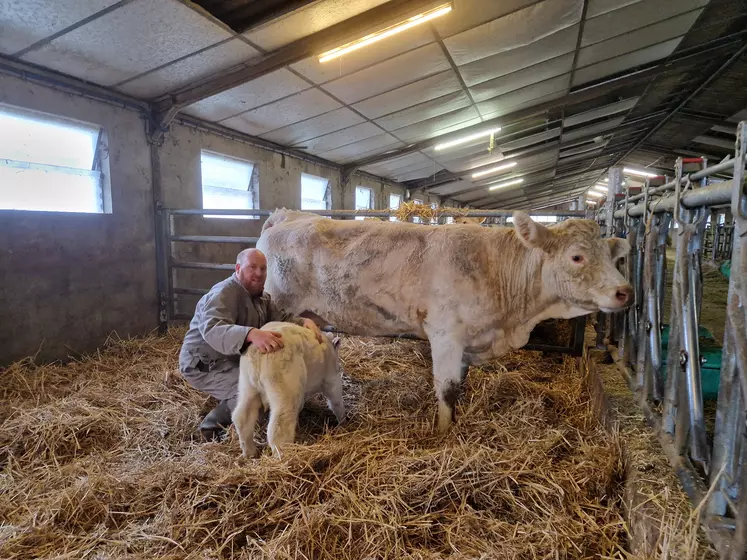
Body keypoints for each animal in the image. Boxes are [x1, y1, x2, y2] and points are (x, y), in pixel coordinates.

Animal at [232, 322, 346, 458]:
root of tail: (258, 355)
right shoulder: (330, 376)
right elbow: (335, 398)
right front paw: (343, 421)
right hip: (285, 384)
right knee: (280, 424)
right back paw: (285, 455)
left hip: (247, 384)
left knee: (242, 416)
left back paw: (250, 452)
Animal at [258, 210, 632, 434]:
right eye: (577, 257)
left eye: (611, 257)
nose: (625, 291)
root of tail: (286, 216)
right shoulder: (445, 334)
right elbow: (448, 388)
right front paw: (442, 433)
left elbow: (460, 385)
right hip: (278, 307)